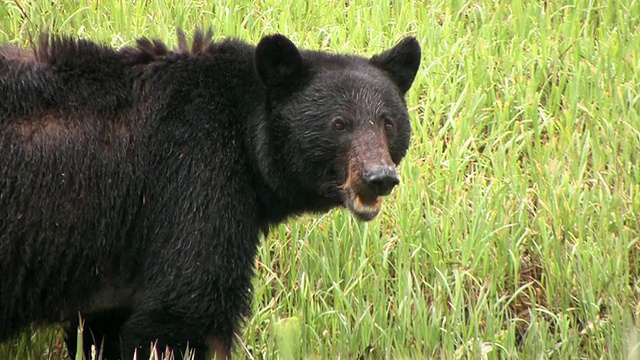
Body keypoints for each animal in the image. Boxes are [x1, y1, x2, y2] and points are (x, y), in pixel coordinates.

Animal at [0, 29, 422, 358]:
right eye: (339, 124)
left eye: (387, 122)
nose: (379, 177)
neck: (245, 134)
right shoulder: (195, 176)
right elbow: (187, 304)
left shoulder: (116, 263)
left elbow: (102, 328)